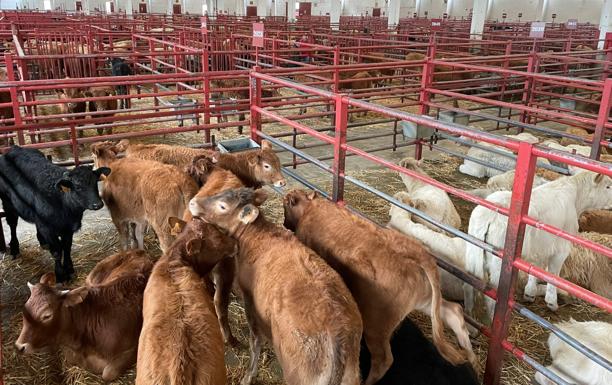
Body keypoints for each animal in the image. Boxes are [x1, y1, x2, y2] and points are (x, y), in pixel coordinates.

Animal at [14, 249, 153, 380]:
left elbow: (108, 373)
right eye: (24, 310)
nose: (19, 346)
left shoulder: (133, 349)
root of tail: (139, 251)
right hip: (91, 278)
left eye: (47, 315)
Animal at [190, 188, 364, 384]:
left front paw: (248, 376)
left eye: (222, 206)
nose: (193, 202)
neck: (257, 236)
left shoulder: (250, 301)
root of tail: (339, 337)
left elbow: (255, 341)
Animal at [284, 189, 478, 384]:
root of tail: (418, 254)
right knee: (454, 312)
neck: (311, 209)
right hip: (426, 300)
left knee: (383, 359)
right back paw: (469, 355)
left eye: (285, 204)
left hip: (377, 326)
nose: (285, 224)